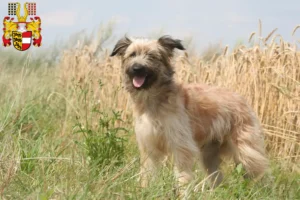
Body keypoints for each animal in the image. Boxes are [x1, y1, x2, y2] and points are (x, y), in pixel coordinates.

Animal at [109, 35, 268, 188]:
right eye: (132, 54)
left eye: (152, 56)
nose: (137, 68)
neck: (154, 100)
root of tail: (241, 98)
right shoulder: (149, 145)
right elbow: (148, 172)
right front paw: (144, 189)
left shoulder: (181, 144)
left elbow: (182, 173)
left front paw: (183, 191)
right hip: (209, 154)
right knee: (217, 177)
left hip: (245, 150)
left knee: (261, 172)